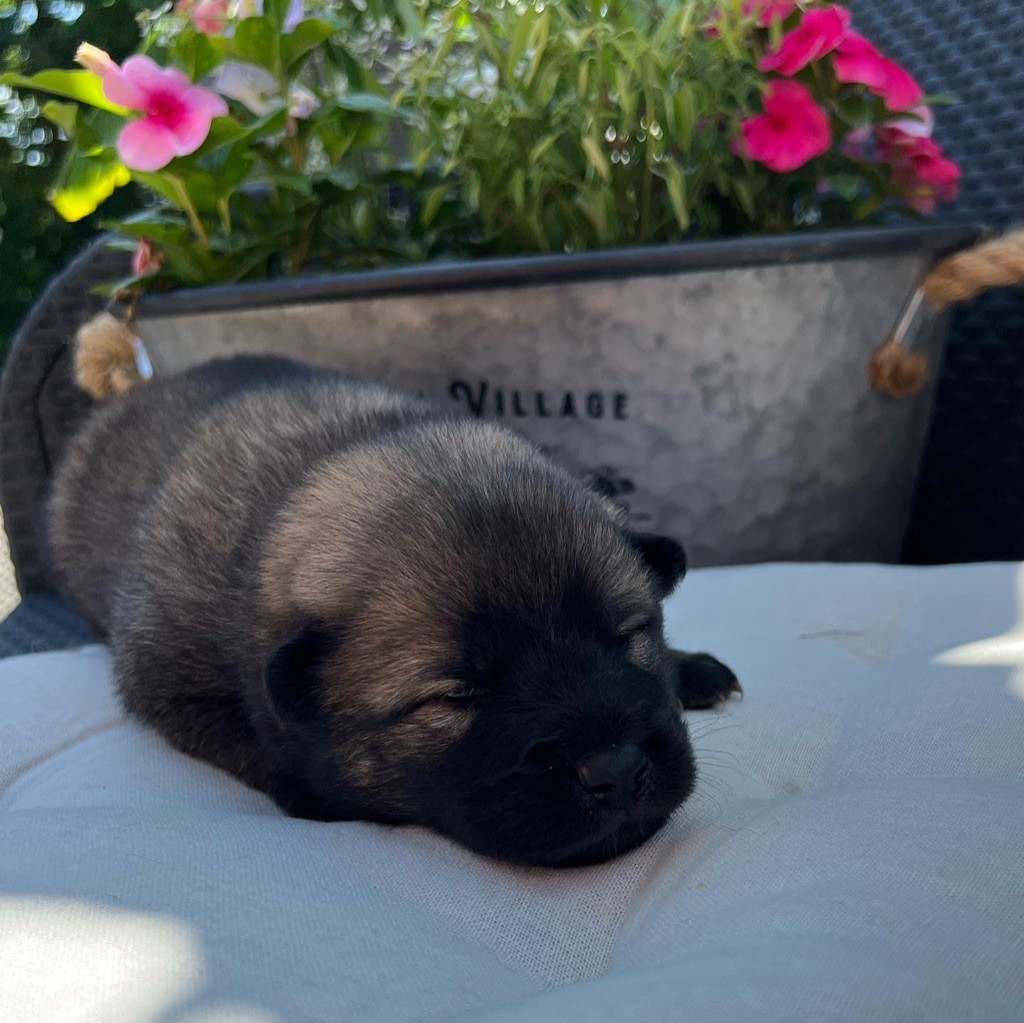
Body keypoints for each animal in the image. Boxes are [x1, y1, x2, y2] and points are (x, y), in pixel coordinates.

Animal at [47, 316, 740, 866]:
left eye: (626, 635)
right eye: (456, 695)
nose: (616, 772)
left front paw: (686, 667)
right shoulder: (168, 679)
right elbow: (245, 734)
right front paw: (311, 786)